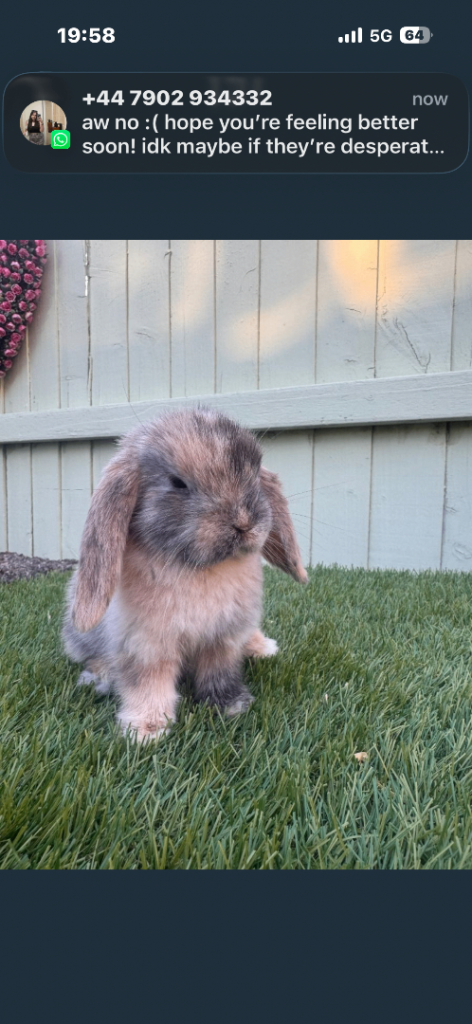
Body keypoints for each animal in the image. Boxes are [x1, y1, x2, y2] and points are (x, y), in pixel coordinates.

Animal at [63, 407, 307, 741]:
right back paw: (98, 677)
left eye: (255, 473)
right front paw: (145, 730)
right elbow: (148, 685)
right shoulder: (147, 647)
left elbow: (220, 672)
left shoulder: (224, 639)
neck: (199, 568)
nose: (244, 523)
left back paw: (262, 647)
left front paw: (231, 705)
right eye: (178, 483)